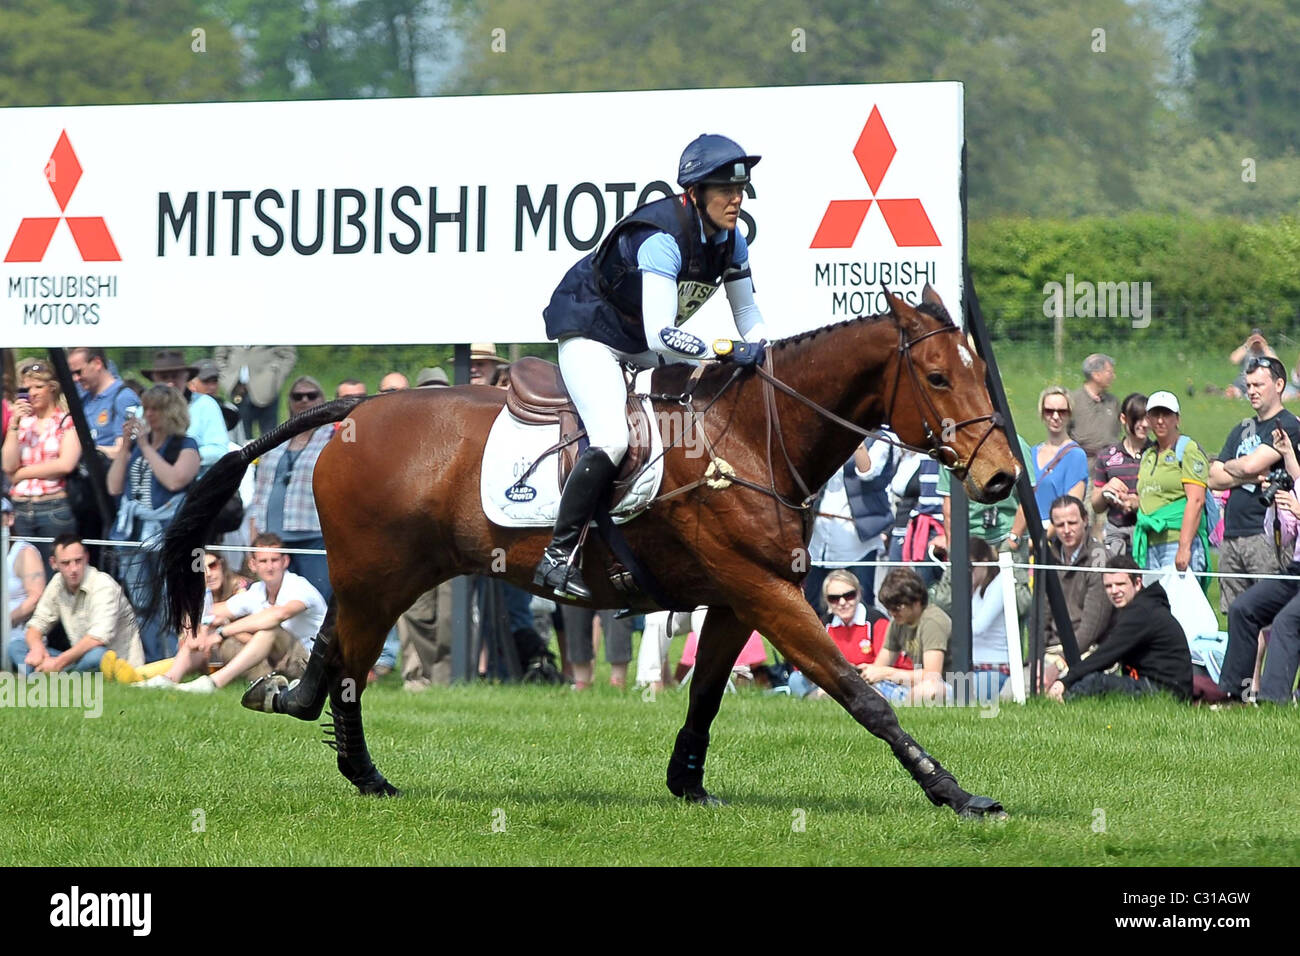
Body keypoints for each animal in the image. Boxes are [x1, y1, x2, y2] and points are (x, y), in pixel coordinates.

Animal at [157, 283, 1019, 816]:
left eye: (980, 371)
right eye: (937, 377)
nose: (1003, 477)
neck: (749, 434)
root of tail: (356, 408)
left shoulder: (741, 595)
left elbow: (707, 693)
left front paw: (688, 784)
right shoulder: (764, 589)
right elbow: (860, 693)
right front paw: (955, 794)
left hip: (391, 575)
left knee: (333, 652)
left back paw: (294, 708)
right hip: (378, 574)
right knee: (348, 668)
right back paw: (362, 772)